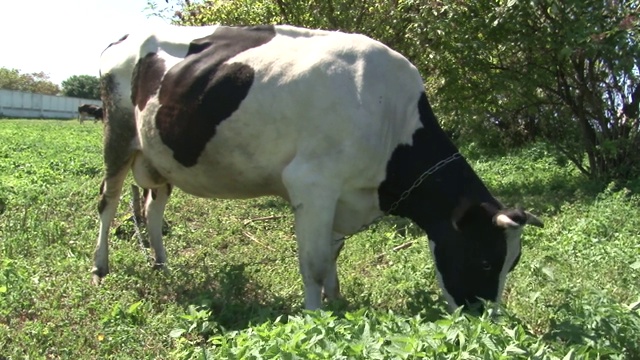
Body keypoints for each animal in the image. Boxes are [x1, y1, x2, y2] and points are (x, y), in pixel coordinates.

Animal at [95, 24, 544, 312]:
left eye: (513, 263)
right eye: (485, 260)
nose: (487, 320)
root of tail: (126, 37)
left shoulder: (342, 195)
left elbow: (331, 255)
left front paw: (338, 300)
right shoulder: (313, 185)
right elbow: (312, 262)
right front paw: (315, 316)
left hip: (159, 155)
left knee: (152, 208)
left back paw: (161, 265)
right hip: (118, 134)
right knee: (108, 201)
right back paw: (100, 268)